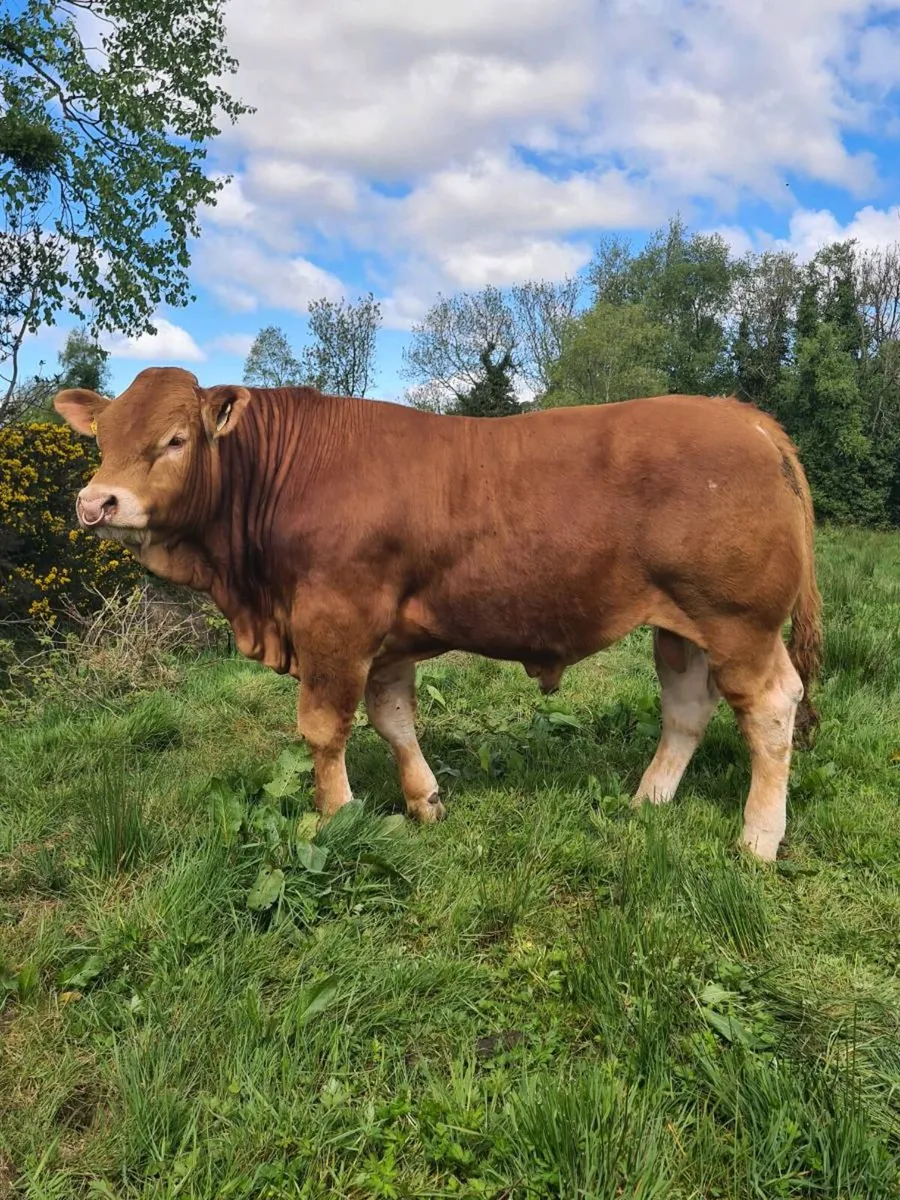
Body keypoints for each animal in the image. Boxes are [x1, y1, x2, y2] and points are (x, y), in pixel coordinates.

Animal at [54, 367, 822, 862]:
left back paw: (758, 839)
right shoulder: (383, 639)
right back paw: (649, 800)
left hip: (739, 621)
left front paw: (336, 817)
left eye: (176, 439)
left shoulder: (334, 622)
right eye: (102, 440)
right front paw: (424, 803)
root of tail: (741, 414)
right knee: (687, 709)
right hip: (679, 623)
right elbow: (394, 721)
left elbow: (324, 729)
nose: (98, 502)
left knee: (771, 707)